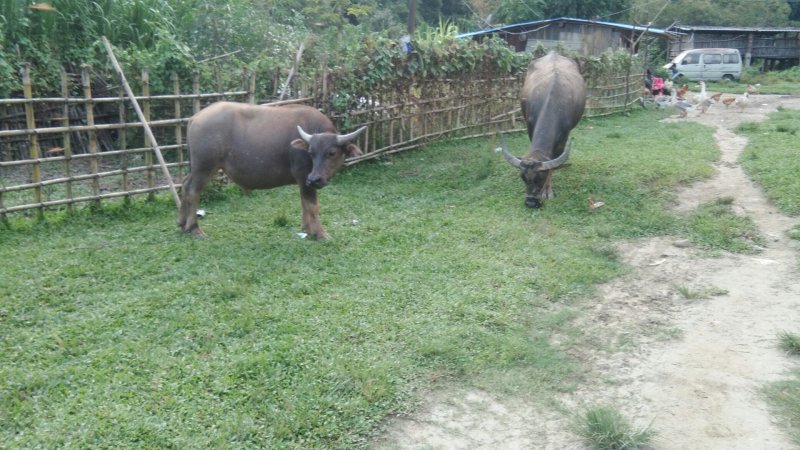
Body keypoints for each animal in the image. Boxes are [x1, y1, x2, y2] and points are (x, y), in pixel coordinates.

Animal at [178, 102, 366, 239]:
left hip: (197, 167)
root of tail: (195, 118)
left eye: (331, 153)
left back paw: (181, 223)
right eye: (311, 153)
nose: (315, 179)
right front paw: (320, 233)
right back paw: (194, 228)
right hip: (205, 166)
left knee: (184, 184)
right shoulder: (304, 176)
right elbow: (313, 205)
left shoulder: (303, 181)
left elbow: (304, 203)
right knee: (193, 190)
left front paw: (307, 229)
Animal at [496, 51, 584, 208]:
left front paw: (548, 191)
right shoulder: (530, 126)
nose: (531, 202)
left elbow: (553, 164)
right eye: (523, 178)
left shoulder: (564, 137)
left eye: (541, 178)